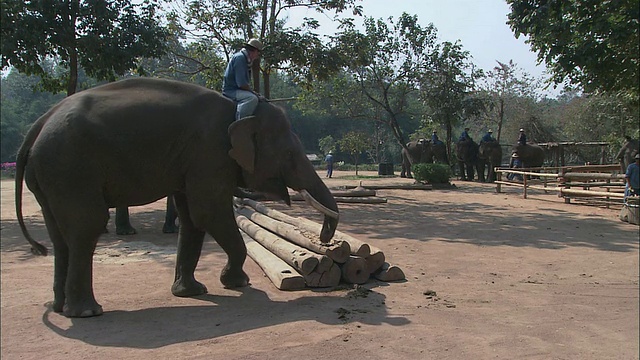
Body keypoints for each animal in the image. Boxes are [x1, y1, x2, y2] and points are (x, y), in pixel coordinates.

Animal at [15, 76, 340, 318]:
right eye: (289, 154)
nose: (325, 240)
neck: (238, 111)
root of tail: (38, 125)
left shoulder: (193, 161)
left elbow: (193, 219)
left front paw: (193, 292)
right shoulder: (210, 153)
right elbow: (209, 212)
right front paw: (237, 283)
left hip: (51, 175)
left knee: (59, 235)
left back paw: (60, 307)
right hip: (71, 168)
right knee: (86, 226)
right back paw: (87, 312)